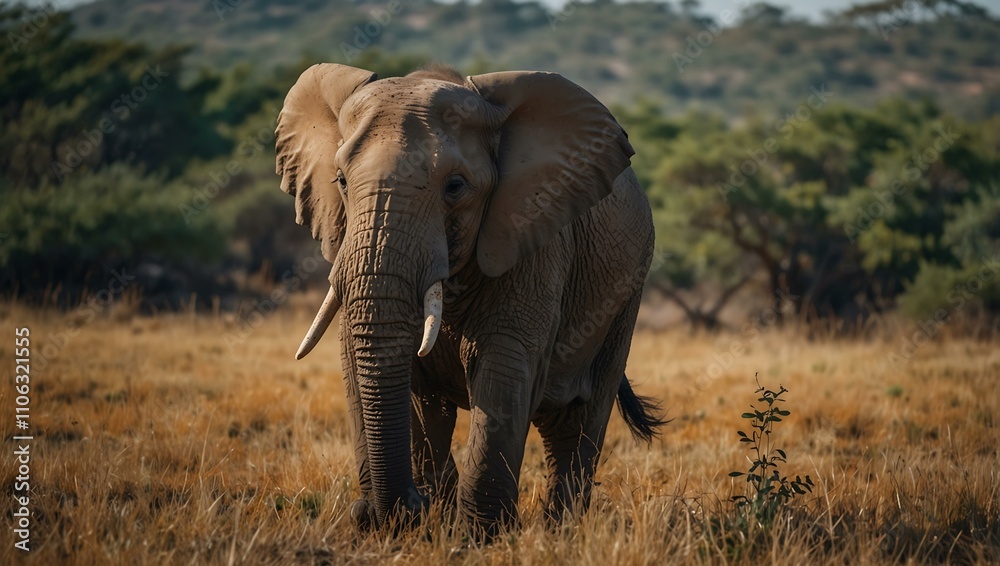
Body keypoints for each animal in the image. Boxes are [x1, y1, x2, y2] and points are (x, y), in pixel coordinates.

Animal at [275, 62, 665, 538]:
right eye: (342, 182)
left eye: (456, 186)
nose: (384, 511)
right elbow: (366, 364)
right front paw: (413, 524)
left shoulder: (532, 236)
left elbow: (502, 367)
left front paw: (479, 537)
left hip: (629, 289)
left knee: (580, 418)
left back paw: (561, 533)